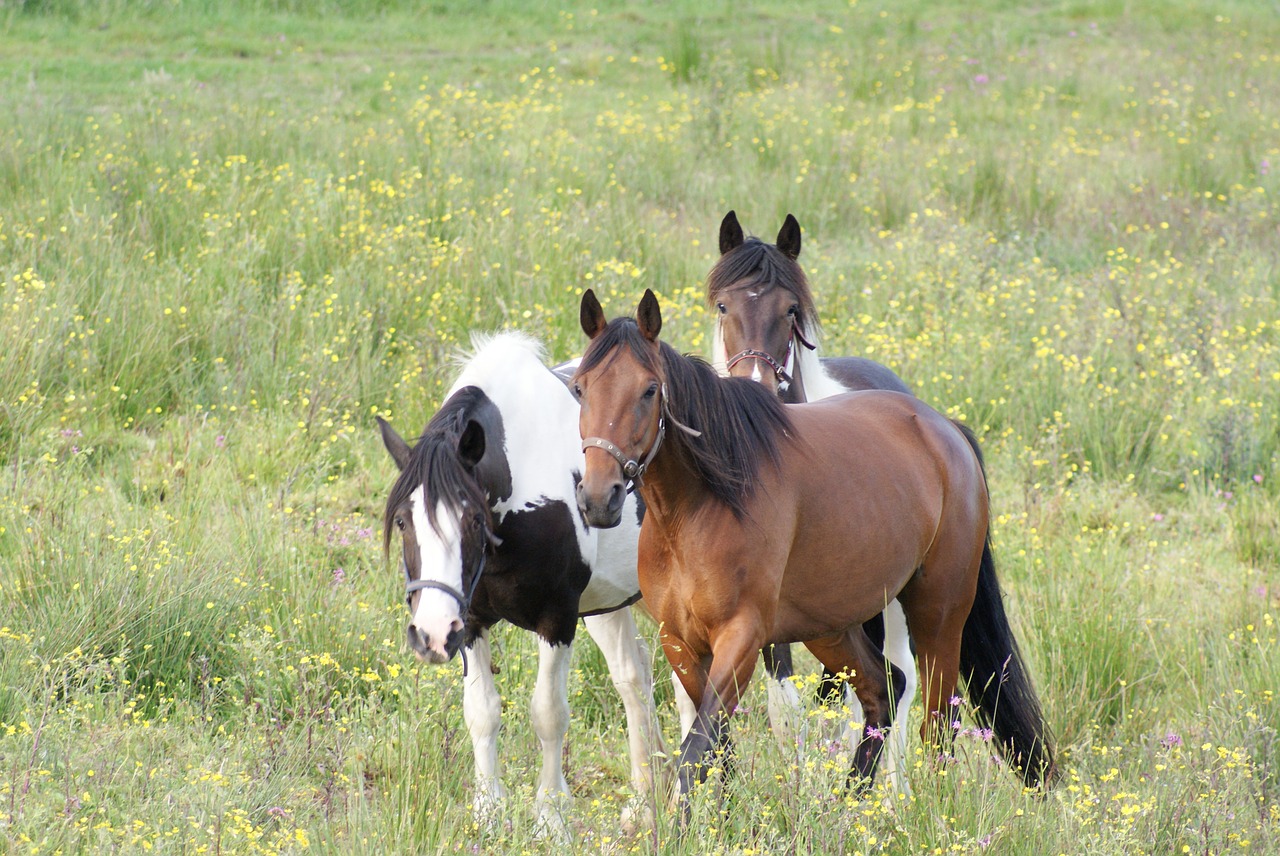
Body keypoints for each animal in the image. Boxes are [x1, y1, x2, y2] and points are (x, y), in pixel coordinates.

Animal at [576, 289, 1054, 803]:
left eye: (649, 390)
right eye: (580, 389)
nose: (599, 498)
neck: (697, 510)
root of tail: (943, 428)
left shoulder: (741, 638)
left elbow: (695, 750)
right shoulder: (680, 642)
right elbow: (716, 746)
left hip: (938, 616)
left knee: (937, 722)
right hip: (831, 627)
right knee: (882, 692)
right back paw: (850, 804)